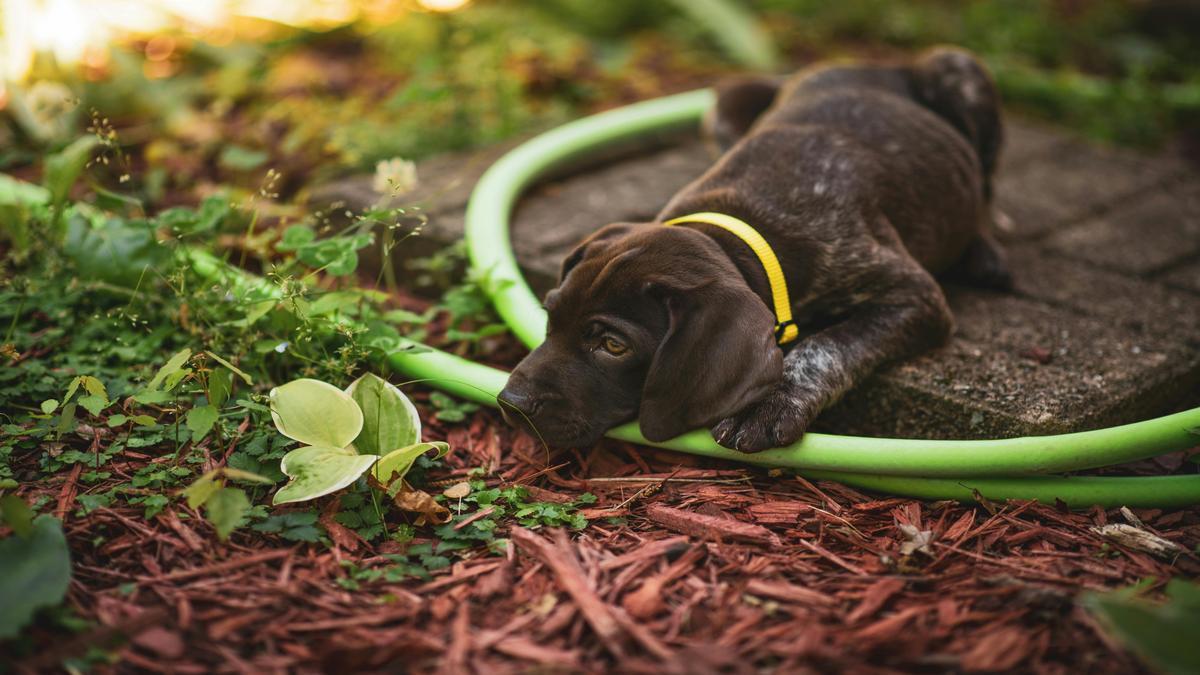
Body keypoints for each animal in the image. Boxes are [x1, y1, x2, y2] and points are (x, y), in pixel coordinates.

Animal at [496, 47, 1012, 451]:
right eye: (549, 315)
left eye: (612, 345)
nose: (510, 404)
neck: (747, 226)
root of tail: (872, 62)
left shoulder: (915, 296)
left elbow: (829, 345)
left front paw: (770, 401)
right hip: (725, 101)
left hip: (959, 69)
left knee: (985, 183)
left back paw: (986, 252)